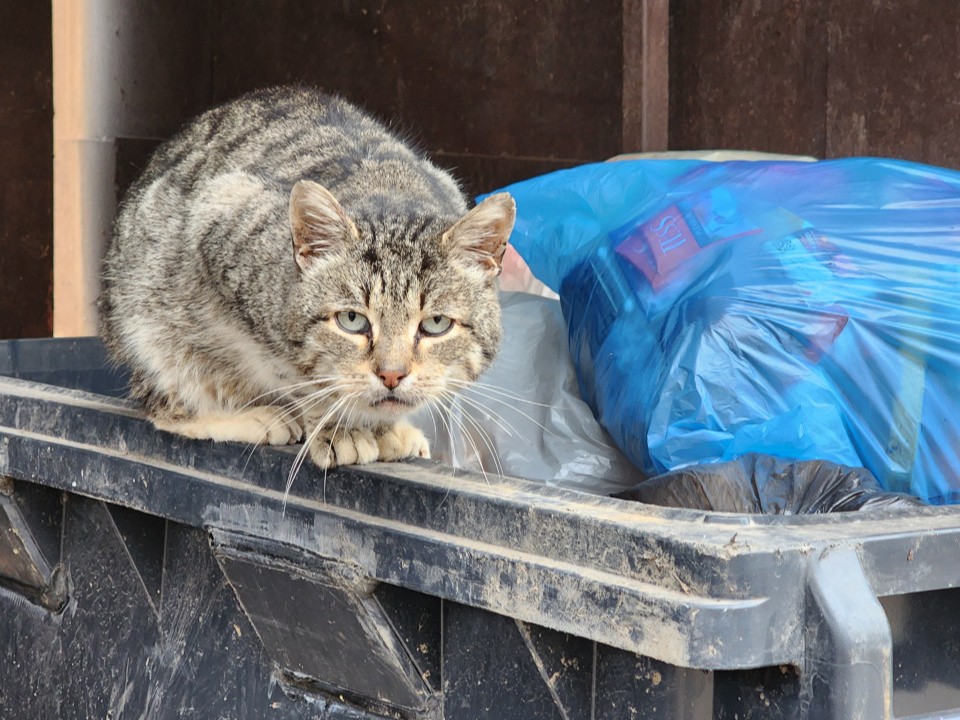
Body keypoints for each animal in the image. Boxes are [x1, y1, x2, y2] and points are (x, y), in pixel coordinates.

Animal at [100, 86, 512, 466]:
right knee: (166, 407)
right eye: (352, 320)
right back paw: (255, 416)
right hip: (147, 321)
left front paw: (381, 428)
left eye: (436, 325)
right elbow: (299, 375)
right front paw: (340, 427)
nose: (392, 376)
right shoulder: (220, 213)